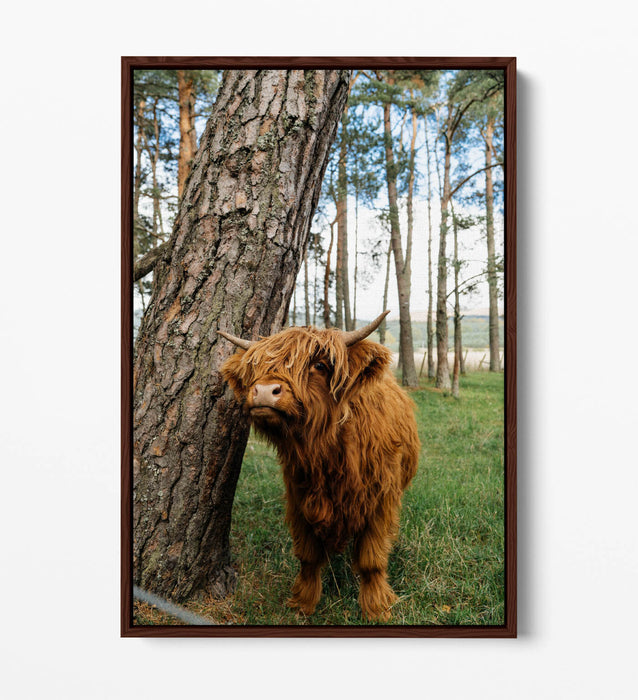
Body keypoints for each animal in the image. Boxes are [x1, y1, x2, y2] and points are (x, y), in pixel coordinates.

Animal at [219, 310, 420, 621]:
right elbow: (308, 555)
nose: (264, 391)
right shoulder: (300, 498)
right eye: (256, 367)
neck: (327, 453)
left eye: (320, 365)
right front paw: (303, 602)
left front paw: (376, 608)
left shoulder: (380, 501)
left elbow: (371, 558)